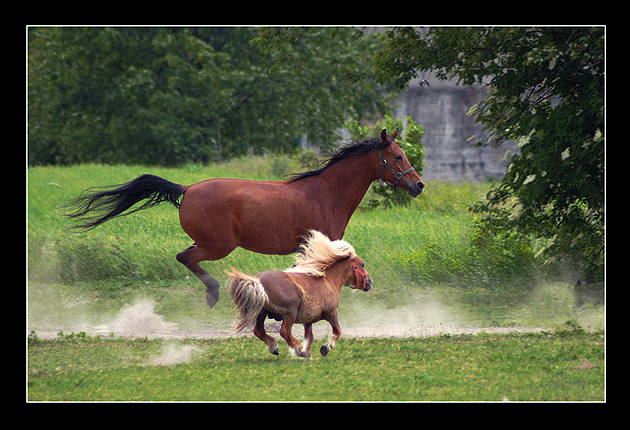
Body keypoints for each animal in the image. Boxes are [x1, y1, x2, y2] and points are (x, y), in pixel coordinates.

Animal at [65, 127, 424, 306]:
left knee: (186, 257)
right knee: (185, 257)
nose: (418, 185)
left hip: (210, 242)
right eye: (397, 156)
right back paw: (212, 294)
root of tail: (187, 189)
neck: (326, 193)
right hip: (217, 244)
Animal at [226, 230, 370, 358]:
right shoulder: (331, 313)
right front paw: (325, 348)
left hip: (262, 312)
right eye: (362, 264)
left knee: (259, 331)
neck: (328, 280)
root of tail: (258, 281)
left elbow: (310, 337)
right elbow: (337, 331)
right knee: (284, 331)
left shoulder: (308, 320)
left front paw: (308, 354)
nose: (369, 282)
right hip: (289, 313)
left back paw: (275, 347)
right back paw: (298, 348)